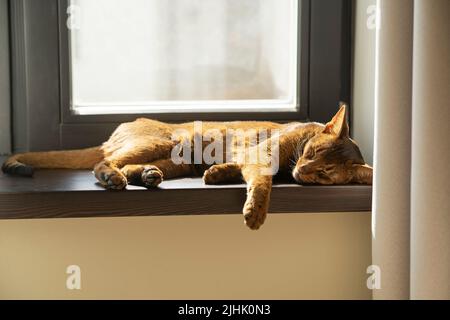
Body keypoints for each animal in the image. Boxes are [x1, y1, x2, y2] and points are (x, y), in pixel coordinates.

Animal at [1, 102, 370, 230]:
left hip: (174, 161)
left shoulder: (250, 158)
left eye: (324, 173)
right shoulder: (261, 155)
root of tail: (116, 130)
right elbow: (262, 182)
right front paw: (255, 212)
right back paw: (112, 176)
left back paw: (146, 176)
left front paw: (217, 174)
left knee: (134, 167)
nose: (302, 172)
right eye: (312, 151)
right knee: (102, 163)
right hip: (161, 142)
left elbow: (237, 168)